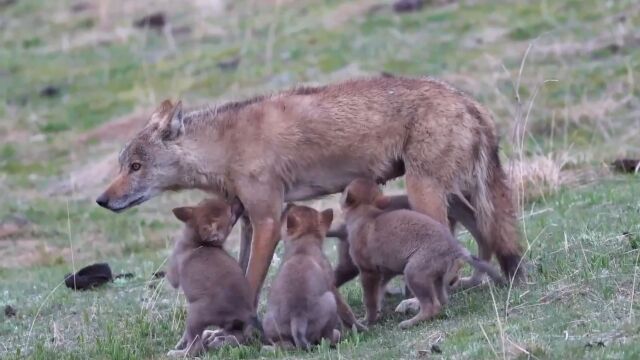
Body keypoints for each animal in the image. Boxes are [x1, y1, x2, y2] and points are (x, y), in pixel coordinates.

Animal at [96, 76, 524, 306]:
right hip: (453, 198)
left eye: (136, 167)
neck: (223, 146)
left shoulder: (269, 219)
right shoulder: (248, 221)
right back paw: (476, 282)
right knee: (486, 238)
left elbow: (252, 280)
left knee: (459, 245)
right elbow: (241, 273)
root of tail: (471, 103)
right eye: (121, 165)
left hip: (426, 194)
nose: (102, 200)